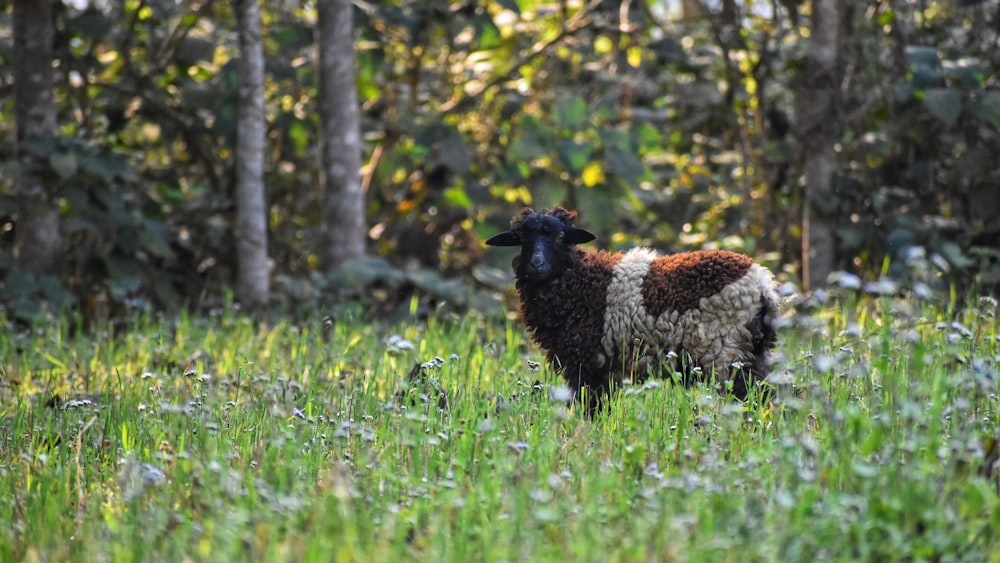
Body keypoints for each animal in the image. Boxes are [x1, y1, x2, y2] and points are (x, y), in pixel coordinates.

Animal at [484, 207, 780, 410]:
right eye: (521, 238)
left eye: (560, 237)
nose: (537, 265)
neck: (581, 281)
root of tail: (763, 283)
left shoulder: (587, 364)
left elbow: (589, 409)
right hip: (754, 352)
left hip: (726, 352)